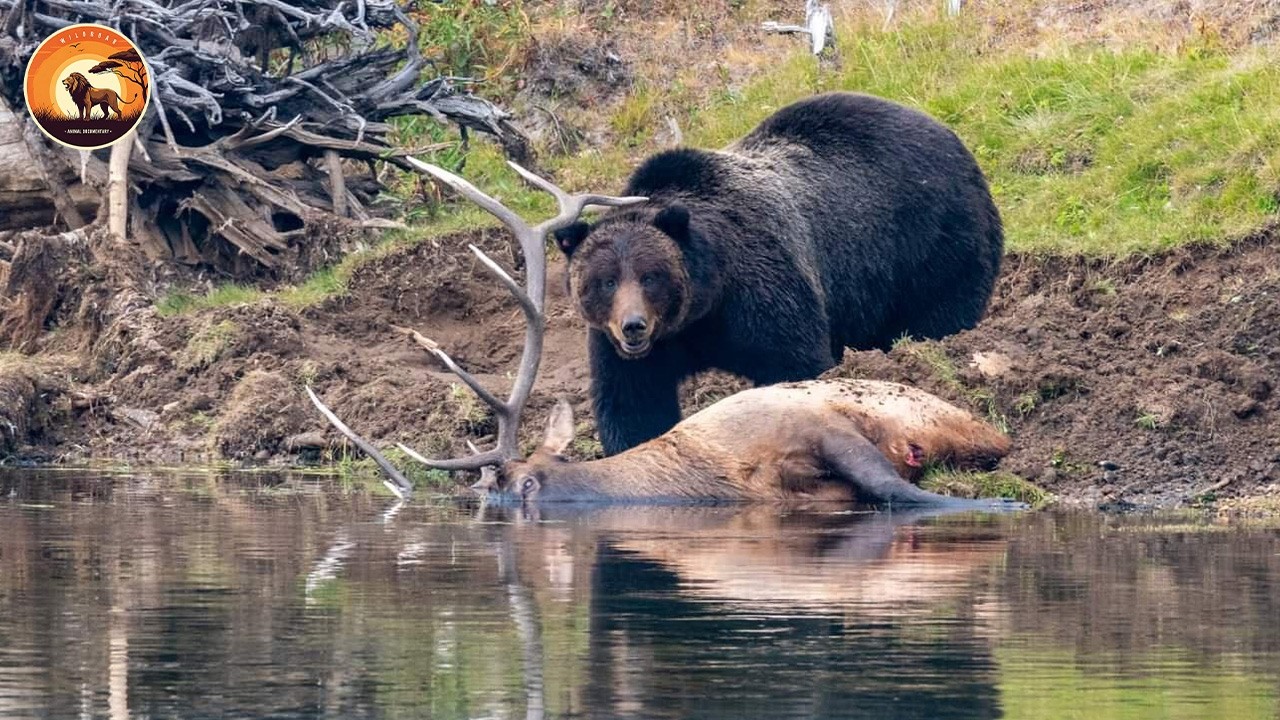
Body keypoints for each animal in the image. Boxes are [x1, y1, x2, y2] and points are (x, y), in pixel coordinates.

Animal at [553, 92, 1004, 456]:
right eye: (605, 281)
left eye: (651, 276)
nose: (634, 326)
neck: (704, 307)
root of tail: (947, 132)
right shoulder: (626, 349)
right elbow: (633, 404)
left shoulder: (761, 290)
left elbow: (794, 361)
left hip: (929, 241)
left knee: (941, 307)